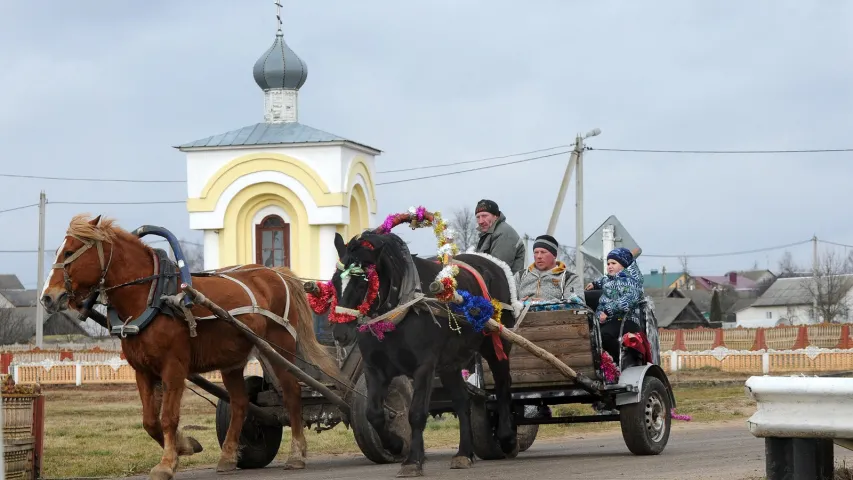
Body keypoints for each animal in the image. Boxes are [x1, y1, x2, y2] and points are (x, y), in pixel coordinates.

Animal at [40, 216, 340, 480]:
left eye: (69, 251)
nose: (48, 297)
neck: (153, 296)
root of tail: (276, 273)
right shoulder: (142, 370)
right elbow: (150, 420)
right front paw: (185, 446)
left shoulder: (174, 368)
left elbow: (168, 417)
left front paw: (167, 464)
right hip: (232, 361)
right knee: (241, 403)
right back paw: (228, 456)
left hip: (280, 351)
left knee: (292, 395)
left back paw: (297, 454)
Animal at [330, 232, 520, 476]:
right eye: (335, 280)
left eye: (363, 282)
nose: (340, 333)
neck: (399, 310)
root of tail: (493, 265)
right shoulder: (374, 368)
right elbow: (374, 413)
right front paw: (395, 444)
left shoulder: (424, 367)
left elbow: (416, 413)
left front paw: (413, 460)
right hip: (450, 364)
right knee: (462, 402)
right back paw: (464, 453)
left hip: (496, 345)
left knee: (503, 385)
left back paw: (507, 437)